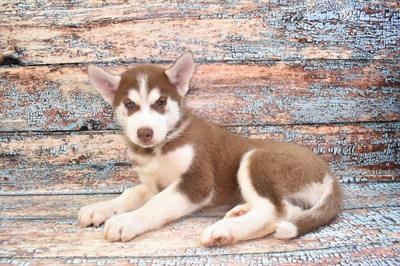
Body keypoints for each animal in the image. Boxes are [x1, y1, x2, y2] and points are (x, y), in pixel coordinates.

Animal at [79, 51, 344, 246]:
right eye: (129, 104)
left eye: (161, 102)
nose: (145, 133)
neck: (162, 145)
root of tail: (329, 172)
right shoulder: (154, 184)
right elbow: (130, 194)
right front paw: (100, 208)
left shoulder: (197, 183)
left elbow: (157, 204)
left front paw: (129, 220)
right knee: (290, 208)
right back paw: (240, 212)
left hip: (254, 159)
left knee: (277, 212)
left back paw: (225, 230)